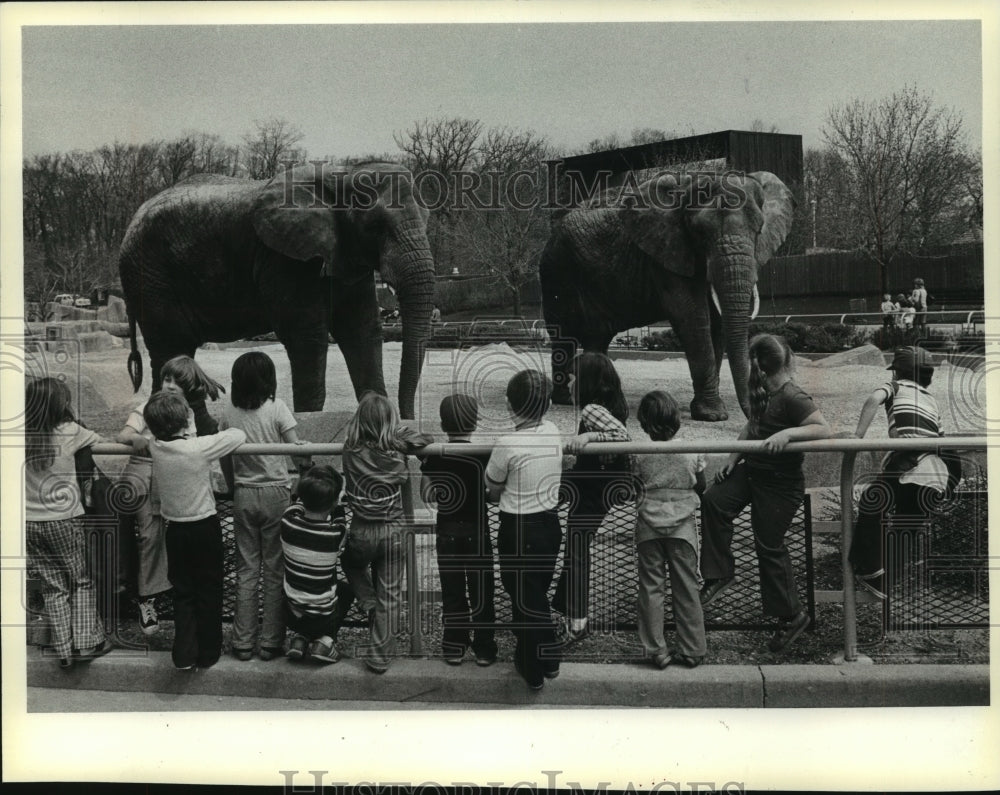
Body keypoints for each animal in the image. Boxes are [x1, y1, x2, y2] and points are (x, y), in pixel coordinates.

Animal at [117, 164, 434, 420]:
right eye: (376, 226)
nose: (408, 419)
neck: (341, 173)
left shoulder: (347, 257)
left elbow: (361, 331)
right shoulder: (285, 259)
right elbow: (307, 337)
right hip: (151, 277)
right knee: (172, 346)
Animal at [540, 169, 796, 422]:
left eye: (759, 229)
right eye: (699, 232)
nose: (757, 410)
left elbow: (716, 322)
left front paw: (709, 411)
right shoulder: (666, 254)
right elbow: (692, 317)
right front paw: (712, 415)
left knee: (596, 337)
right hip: (556, 271)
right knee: (563, 336)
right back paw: (566, 400)